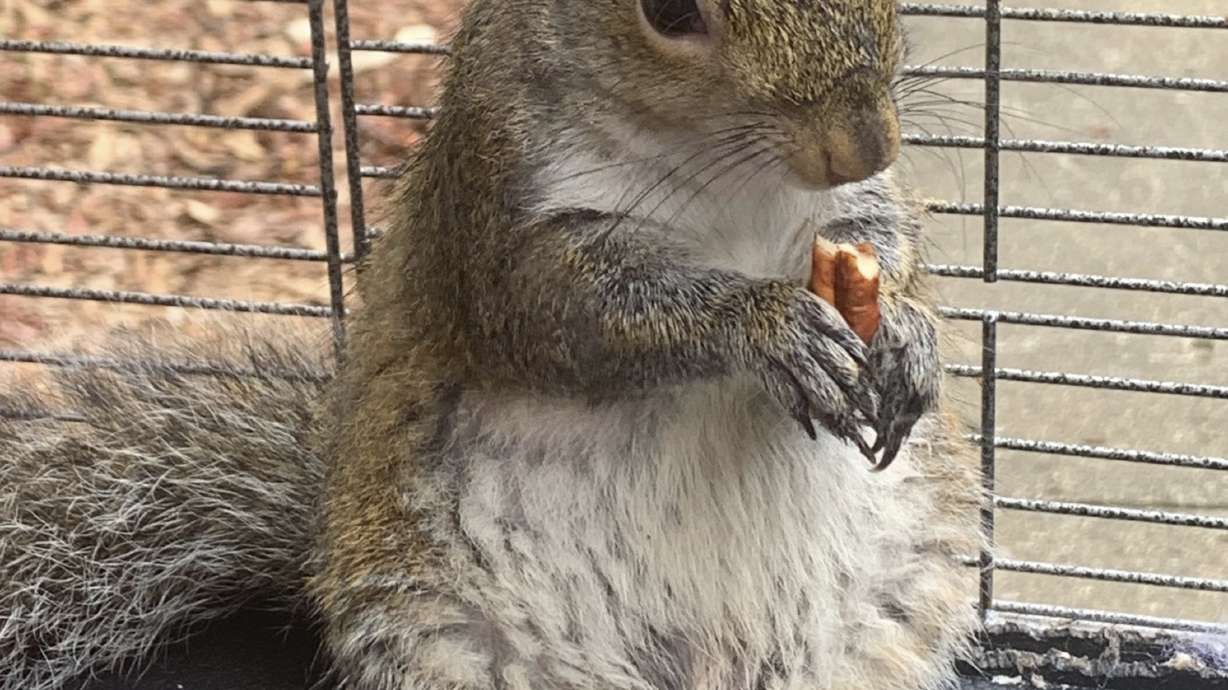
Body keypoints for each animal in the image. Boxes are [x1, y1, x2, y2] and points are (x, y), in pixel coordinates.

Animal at [0, 0, 983, 688]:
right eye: (668, 12)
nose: (863, 142)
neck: (725, 173)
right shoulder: (496, 205)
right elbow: (568, 314)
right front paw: (767, 327)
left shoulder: (850, 213)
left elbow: (884, 234)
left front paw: (907, 337)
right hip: (448, 642)